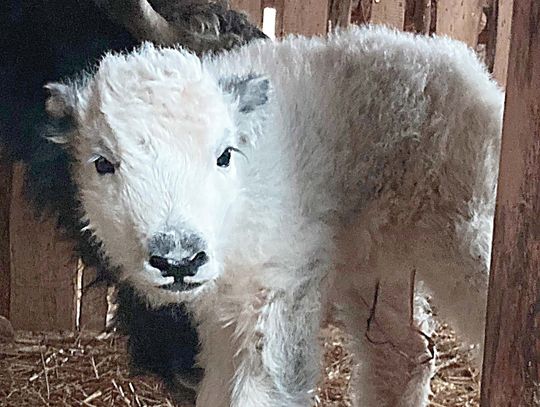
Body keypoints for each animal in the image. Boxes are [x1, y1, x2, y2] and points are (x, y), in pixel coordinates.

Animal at [44, 27, 504, 406]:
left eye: (224, 155)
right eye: (103, 163)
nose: (178, 260)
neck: (239, 207)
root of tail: (457, 58)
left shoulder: (280, 287)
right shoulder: (222, 320)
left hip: (471, 229)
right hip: (373, 263)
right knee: (402, 355)